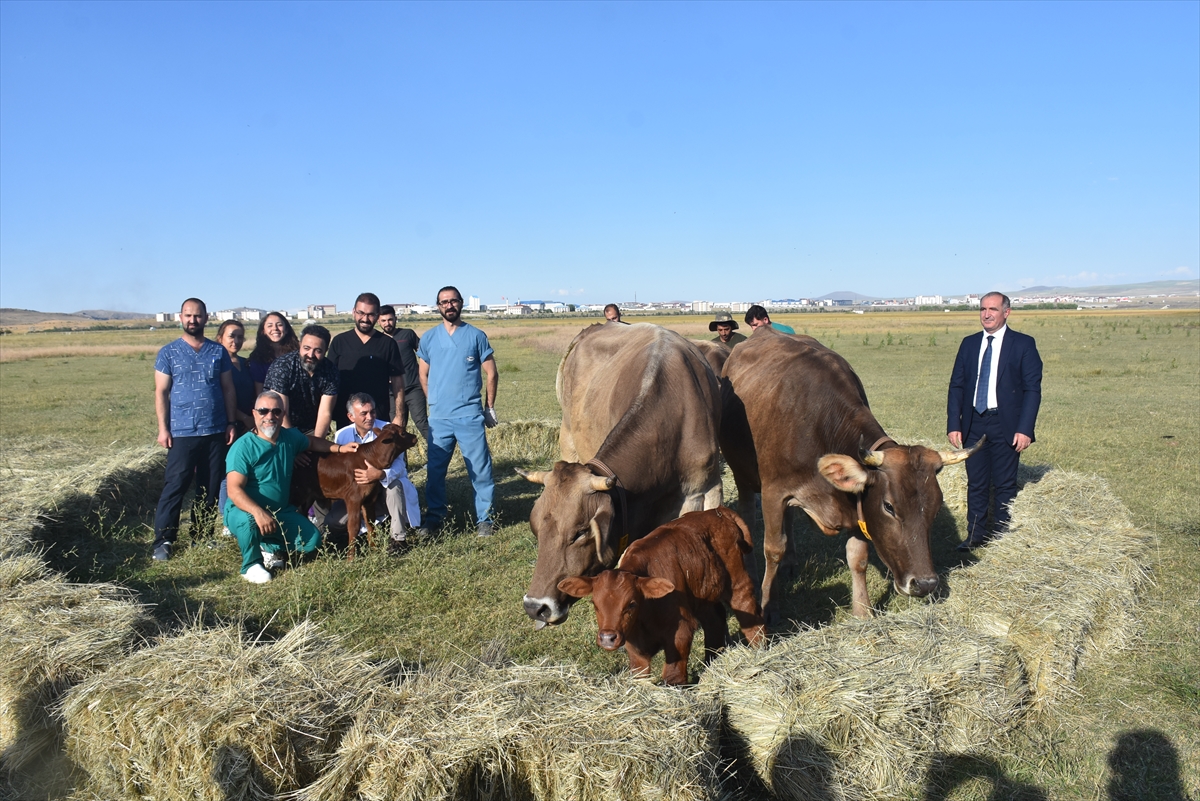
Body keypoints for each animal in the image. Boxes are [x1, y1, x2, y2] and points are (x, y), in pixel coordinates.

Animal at [289, 422, 417, 561]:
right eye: (403, 433)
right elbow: (353, 527)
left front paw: (374, 550)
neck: (372, 459)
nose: (415, 437)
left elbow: (370, 524)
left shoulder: (369, 499)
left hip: (308, 497)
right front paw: (351, 558)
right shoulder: (353, 498)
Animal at [556, 510, 763, 685]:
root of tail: (717, 511)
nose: (608, 638)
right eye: (595, 604)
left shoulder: (681, 630)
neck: (647, 614)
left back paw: (759, 653)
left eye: (631, 604)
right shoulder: (633, 644)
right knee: (715, 620)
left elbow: (673, 675)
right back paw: (712, 660)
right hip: (703, 594)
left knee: (748, 611)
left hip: (737, 581)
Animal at [715, 326, 979, 618]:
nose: (925, 584)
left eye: (936, 505)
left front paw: (862, 610)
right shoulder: (774, 492)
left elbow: (858, 557)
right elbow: (773, 549)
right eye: (889, 506)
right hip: (743, 475)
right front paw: (769, 605)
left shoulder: (856, 505)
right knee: (748, 519)